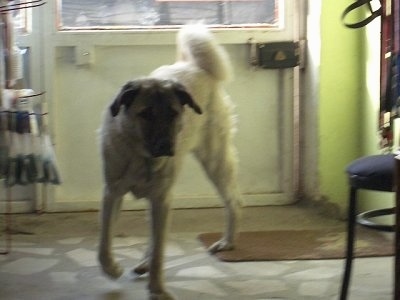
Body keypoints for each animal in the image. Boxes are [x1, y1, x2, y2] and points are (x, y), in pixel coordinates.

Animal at [98, 24, 242, 298]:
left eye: (173, 113)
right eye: (146, 114)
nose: (166, 145)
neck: (141, 156)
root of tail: (195, 66)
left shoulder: (162, 199)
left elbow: (159, 253)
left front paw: (158, 289)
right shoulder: (113, 194)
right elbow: (104, 241)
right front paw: (111, 268)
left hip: (215, 163)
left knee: (234, 203)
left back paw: (228, 241)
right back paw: (143, 263)